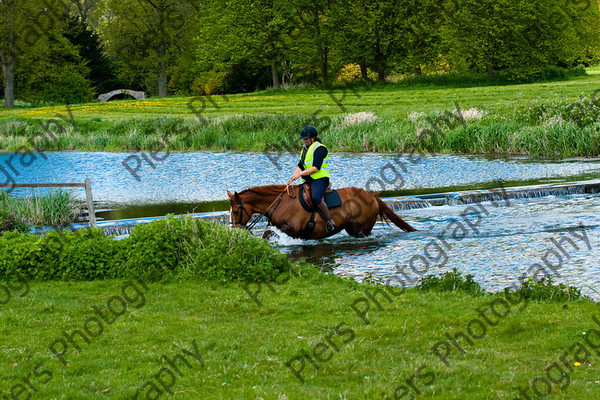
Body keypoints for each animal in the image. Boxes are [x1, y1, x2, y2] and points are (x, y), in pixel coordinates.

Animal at [226, 184, 418, 238]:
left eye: (235, 210)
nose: (234, 229)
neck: (280, 203)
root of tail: (372, 196)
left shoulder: (292, 228)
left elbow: (267, 234)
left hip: (360, 230)